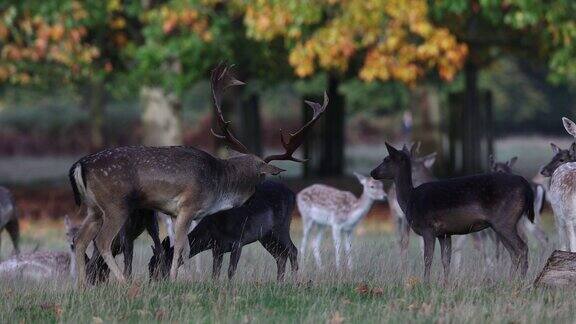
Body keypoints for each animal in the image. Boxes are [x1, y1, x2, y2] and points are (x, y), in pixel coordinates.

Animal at [148, 180, 300, 280]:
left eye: (158, 265)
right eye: (149, 265)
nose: (153, 283)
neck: (211, 232)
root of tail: (293, 194)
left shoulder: (238, 241)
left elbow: (231, 271)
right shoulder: (217, 248)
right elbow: (215, 273)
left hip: (281, 227)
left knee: (293, 250)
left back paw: (294, 283)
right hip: (266, 236)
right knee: (280, 256)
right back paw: (279, 283)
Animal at [372, 143, 532, 282]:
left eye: (386, 159)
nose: (372, 172)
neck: (410, 199)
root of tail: (525, 185)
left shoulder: (428, 228)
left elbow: (428, 259)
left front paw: (425, 284)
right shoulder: (444, 233)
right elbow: (445, 260)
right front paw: (446, 284)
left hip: (504, 220)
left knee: (522, 247)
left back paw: (521, 282)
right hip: (501, 224)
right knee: (513, 252)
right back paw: (510, 281)